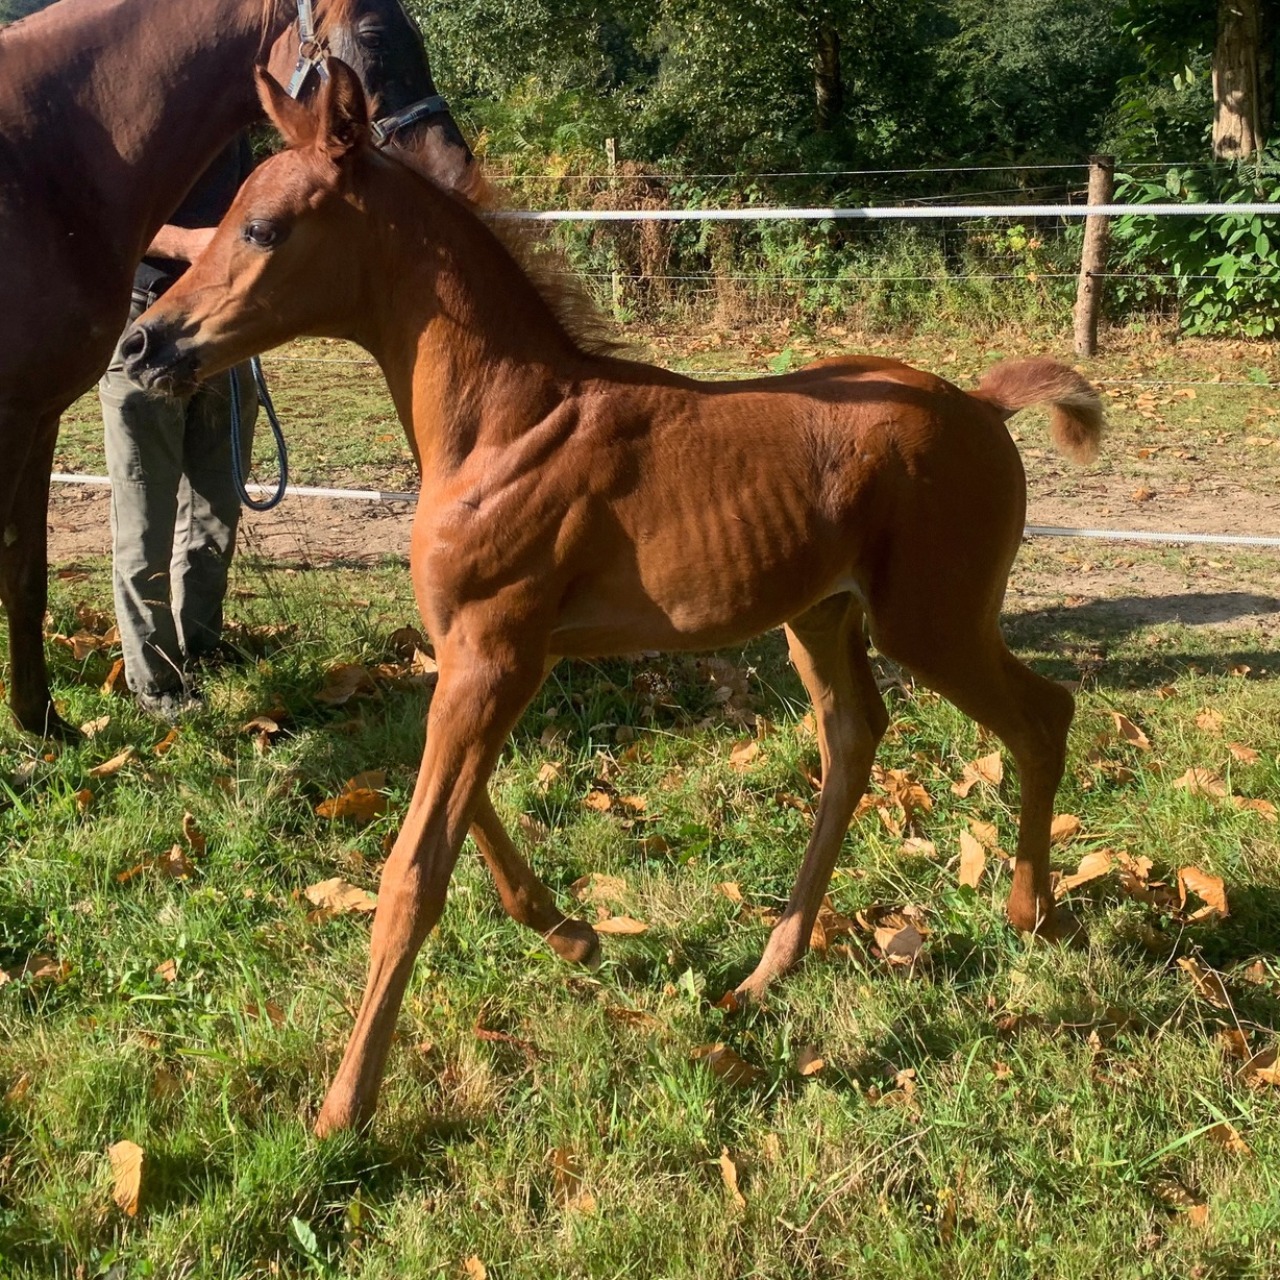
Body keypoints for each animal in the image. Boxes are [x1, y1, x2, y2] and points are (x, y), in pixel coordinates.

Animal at [0, 0, 478, 742]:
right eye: (374, 38)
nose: (456, 173)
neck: (47, 166)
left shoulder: (36, 412)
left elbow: (25, 571)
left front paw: (42, 723)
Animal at [132, 64, 1111, 1136]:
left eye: (264, 228)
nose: (144, 344)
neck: (505, 424)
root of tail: (981, 404)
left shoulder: (498, 654)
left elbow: (412, 874)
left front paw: (343, 1111)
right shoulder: (477, 656)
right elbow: (459, 811)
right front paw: (572, 934)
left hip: (931, 618)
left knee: (1041, 715)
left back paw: (1031, 914)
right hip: (819, 617)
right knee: (854, 741)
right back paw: (766, 973)